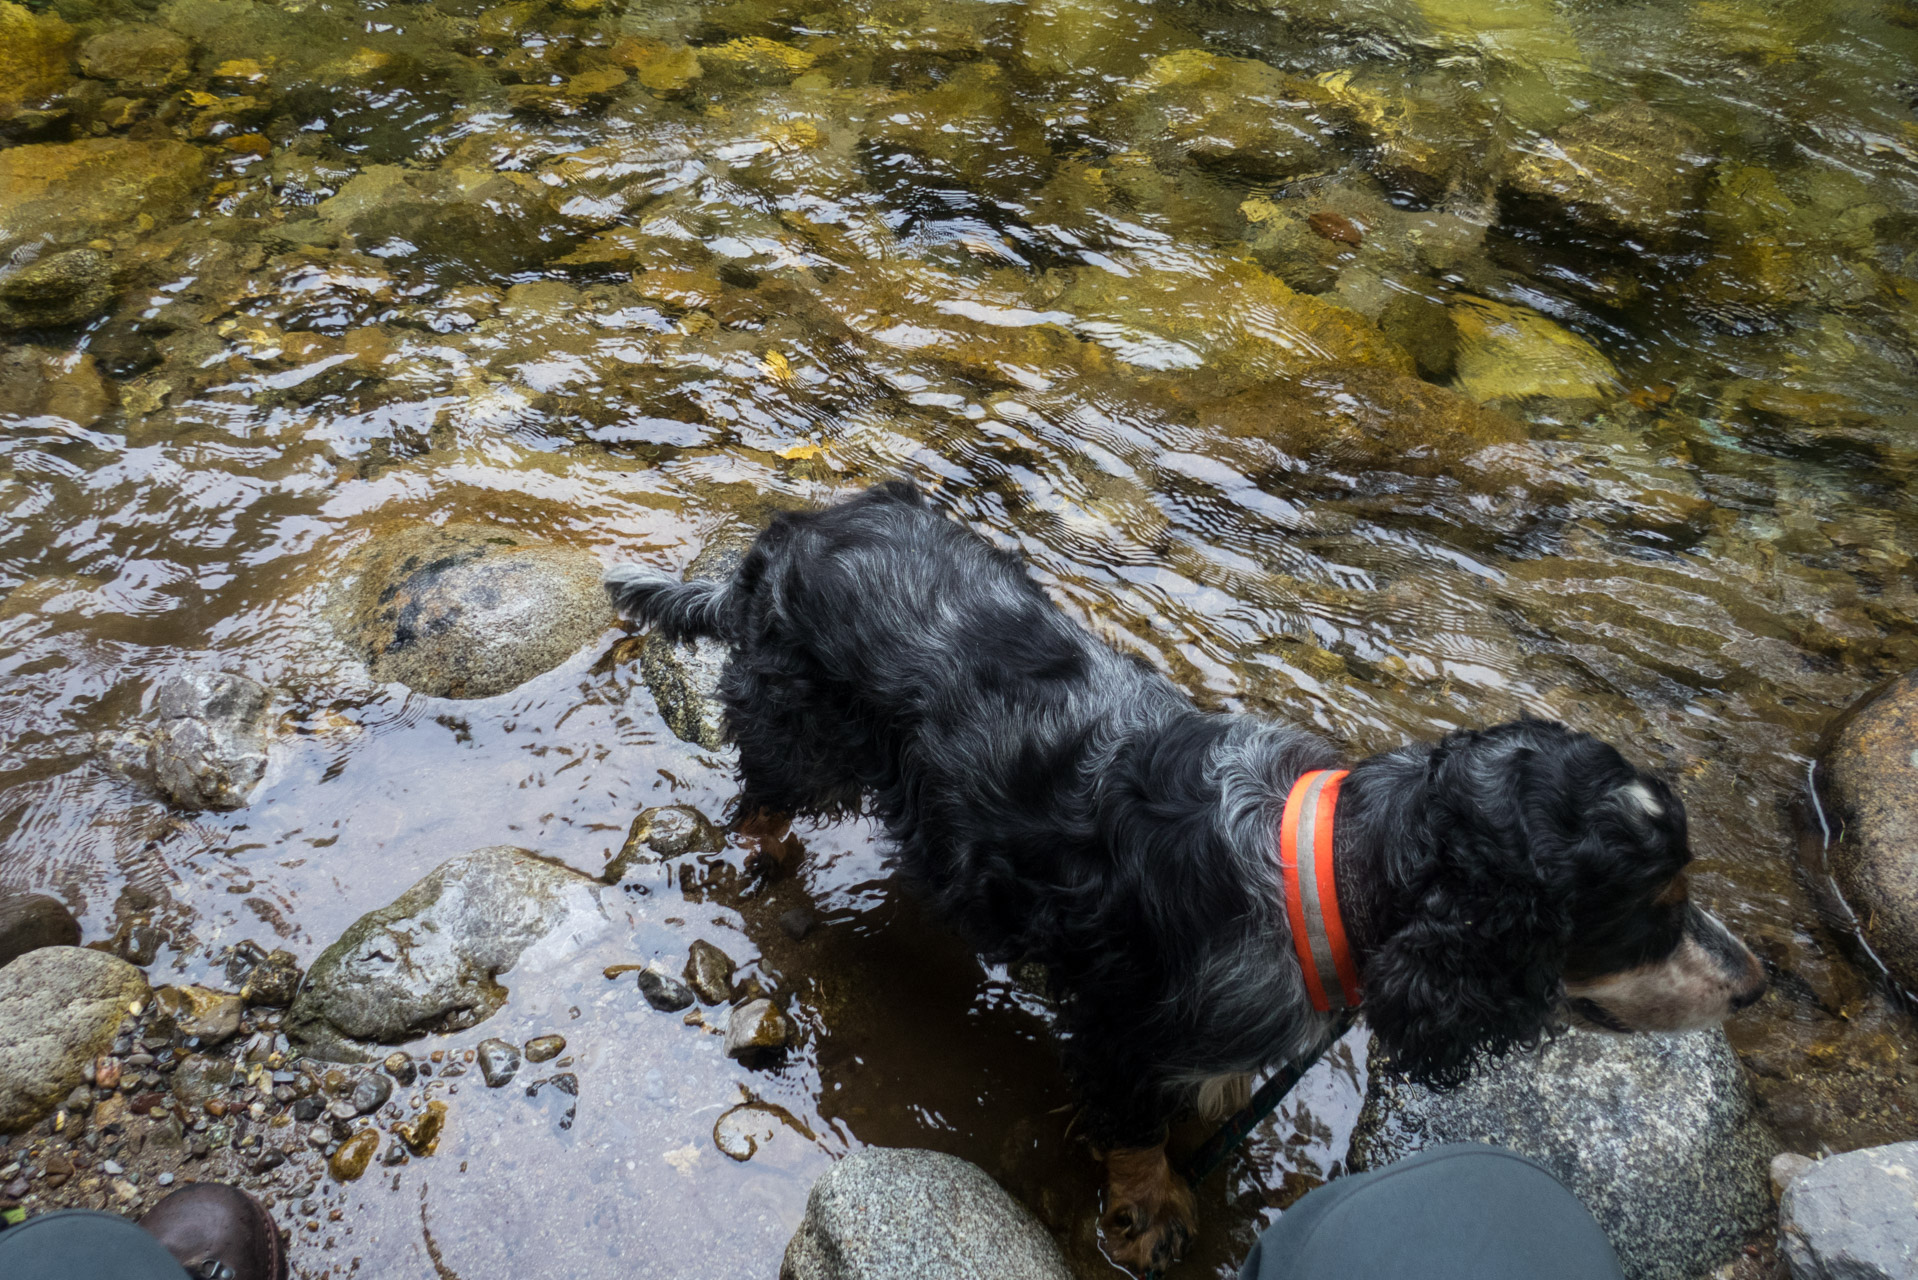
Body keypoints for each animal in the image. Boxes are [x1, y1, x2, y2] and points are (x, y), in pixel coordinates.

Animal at [606, 483, 1756, 1274]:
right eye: (1650, 911)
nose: (1754, 984)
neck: (1327, 871)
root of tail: (790, 534)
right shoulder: (1124, 1022)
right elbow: (1138, 1130)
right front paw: (1152, 1209)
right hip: (802, 727)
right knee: (761, 795)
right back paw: (774, 861)